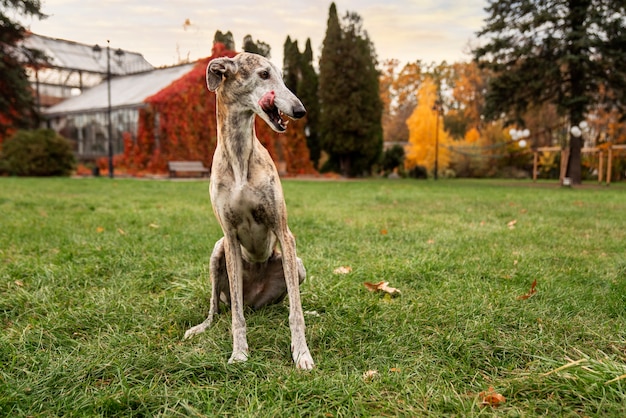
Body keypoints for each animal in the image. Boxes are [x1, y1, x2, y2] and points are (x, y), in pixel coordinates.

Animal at [183, 52, 314, 370]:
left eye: (281, 76)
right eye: (264, 74)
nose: (300, 110)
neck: (240, 156)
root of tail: (255, 299)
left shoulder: (283, 231)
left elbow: (296, 311)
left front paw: (301, 353)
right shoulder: (229, 237)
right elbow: (236, 317)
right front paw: (239, 352)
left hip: (296, 265)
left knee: (287, 302)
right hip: (217, 254)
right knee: (217, 308)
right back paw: (201, 327)